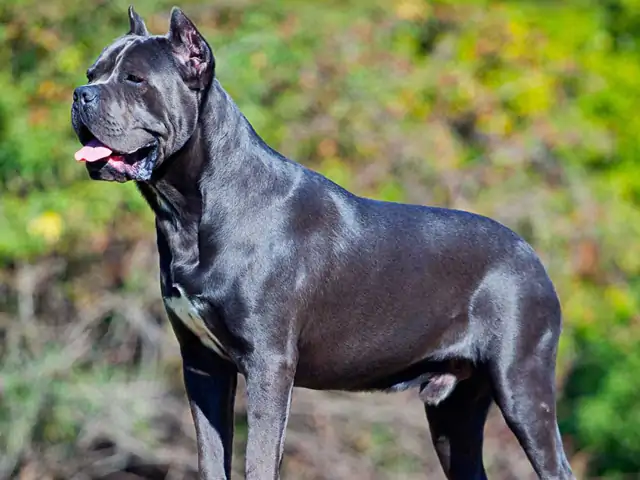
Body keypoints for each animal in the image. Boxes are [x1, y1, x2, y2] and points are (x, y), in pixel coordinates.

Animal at [70, 7, 576, 480]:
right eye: (93, 73)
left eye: (134, 79)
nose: (80, 94)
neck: (187, 211)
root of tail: (531, 254)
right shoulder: (202, 364)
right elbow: (212, 457)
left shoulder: (269, 363)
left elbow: (259, 459)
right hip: (455, 411)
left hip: (522, 383)